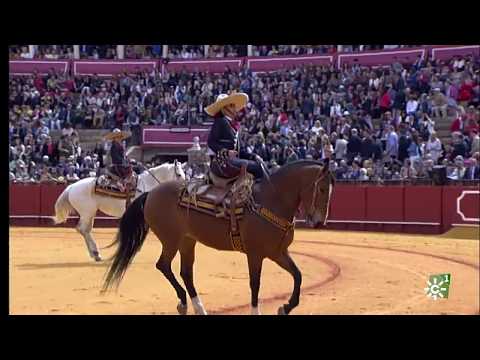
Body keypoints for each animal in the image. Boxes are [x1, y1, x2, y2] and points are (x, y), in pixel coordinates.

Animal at [53, 162, 186, 262]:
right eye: (179, 174)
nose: (185, 190)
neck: (148, 184)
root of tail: (71, 187)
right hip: (87, 213)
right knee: (83, 229)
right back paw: (96, 253)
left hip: (90, 214)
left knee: (85, 230)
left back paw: (95, 254)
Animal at [102, 161, 334, 316]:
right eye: (322, 188)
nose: (319, 221)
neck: (270, 200)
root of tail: (151, 193)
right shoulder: (255, 254)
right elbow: (255, 283)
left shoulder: (278, 253)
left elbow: (298, 275)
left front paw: (286, 307)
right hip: (171, 240)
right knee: (164, 265)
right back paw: (184, 302)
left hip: (187, 241)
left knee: (185, 272)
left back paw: (198, 307)